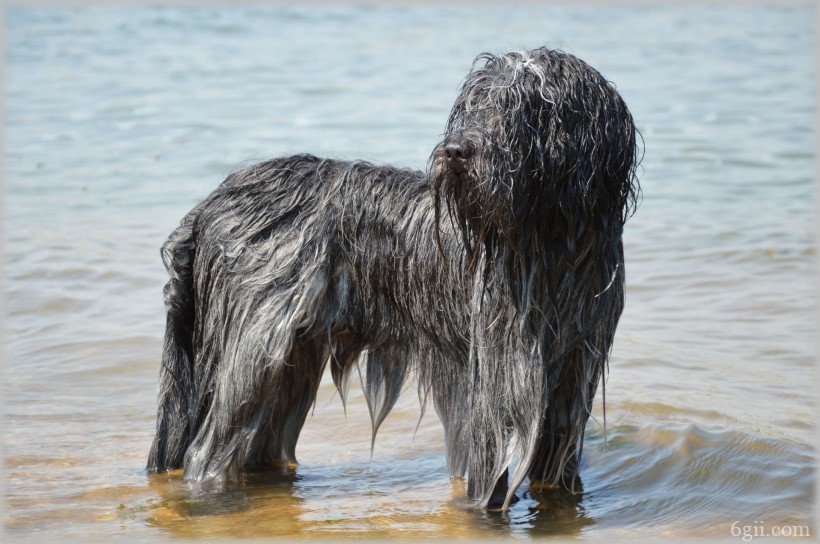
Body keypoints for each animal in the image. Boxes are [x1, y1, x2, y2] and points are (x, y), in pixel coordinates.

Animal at [151, 46, 644, 510]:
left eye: (526, 105)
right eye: (474, 103)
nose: (455, 151)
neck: (549, 246)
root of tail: (206, 205)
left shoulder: (573, 374)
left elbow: (558, 472)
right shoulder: (498, 378)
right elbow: (489, 479)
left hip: (291, 365)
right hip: (252, 352)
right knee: (205, 452)